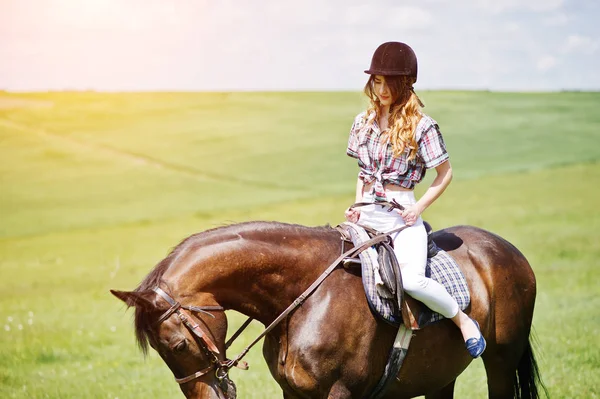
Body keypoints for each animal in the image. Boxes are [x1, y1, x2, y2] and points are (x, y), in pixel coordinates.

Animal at [110, 222, 548, 399]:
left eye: (178, 346)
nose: (206, 397)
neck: (305, 297)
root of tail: (506, 249)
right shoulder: (293, 392)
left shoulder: (341, 391)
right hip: (441, 373)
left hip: (502, 361)